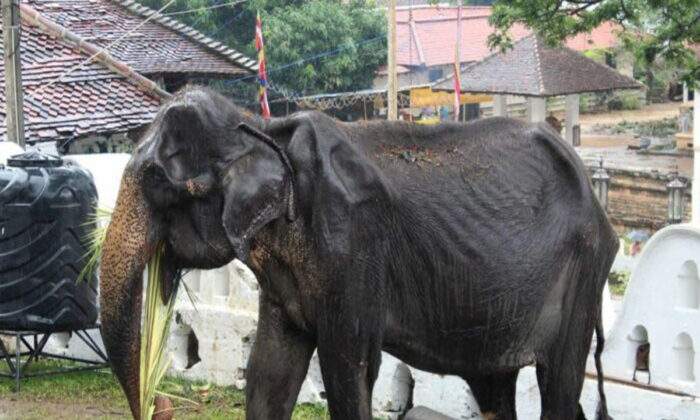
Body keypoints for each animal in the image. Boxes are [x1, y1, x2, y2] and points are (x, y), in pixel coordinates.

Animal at [100, 87, 616, 418]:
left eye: (156, 182)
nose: (158, 403)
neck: (262, 129)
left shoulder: (352, 247)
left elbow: (349, 370)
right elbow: (268, 370)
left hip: (581, 274)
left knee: (559, 383)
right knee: (494, 387)